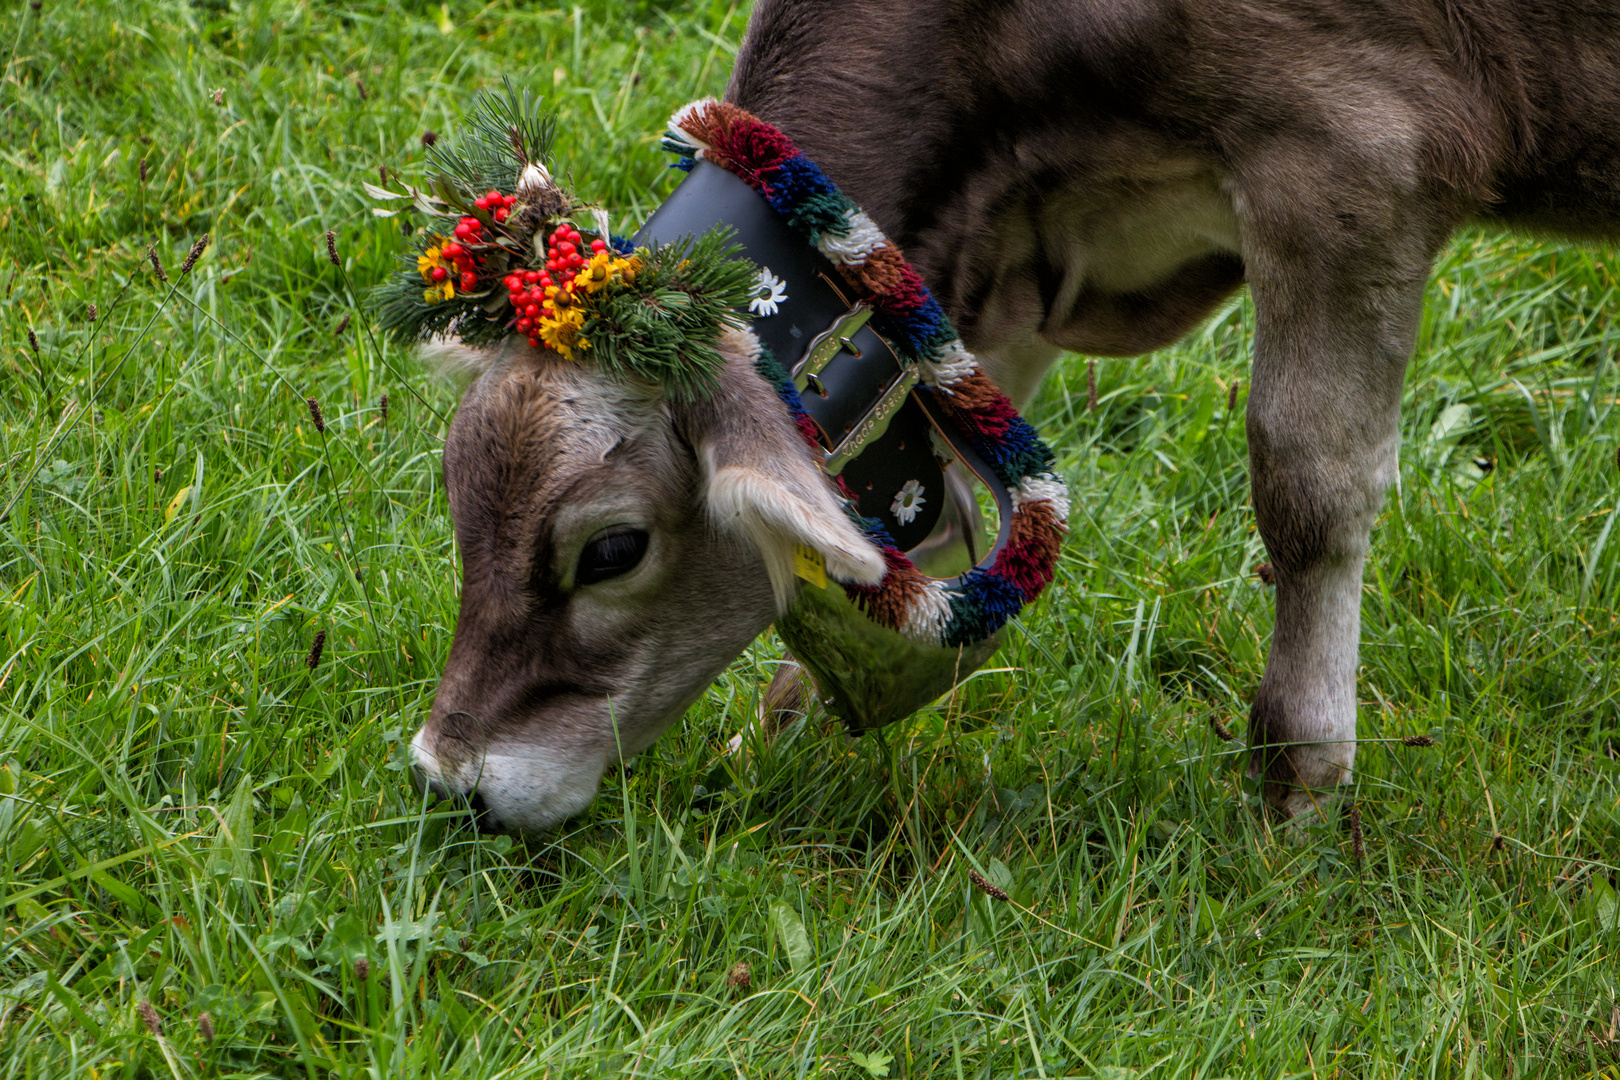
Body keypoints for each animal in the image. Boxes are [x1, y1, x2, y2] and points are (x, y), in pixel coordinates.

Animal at [408, 0, 1620, 835]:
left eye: (611, 549)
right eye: (453, 494)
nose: (447, 779)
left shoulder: (1354, 157)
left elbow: (1309, 485)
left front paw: (1299, 783)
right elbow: (929, 481)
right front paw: (784, 726)